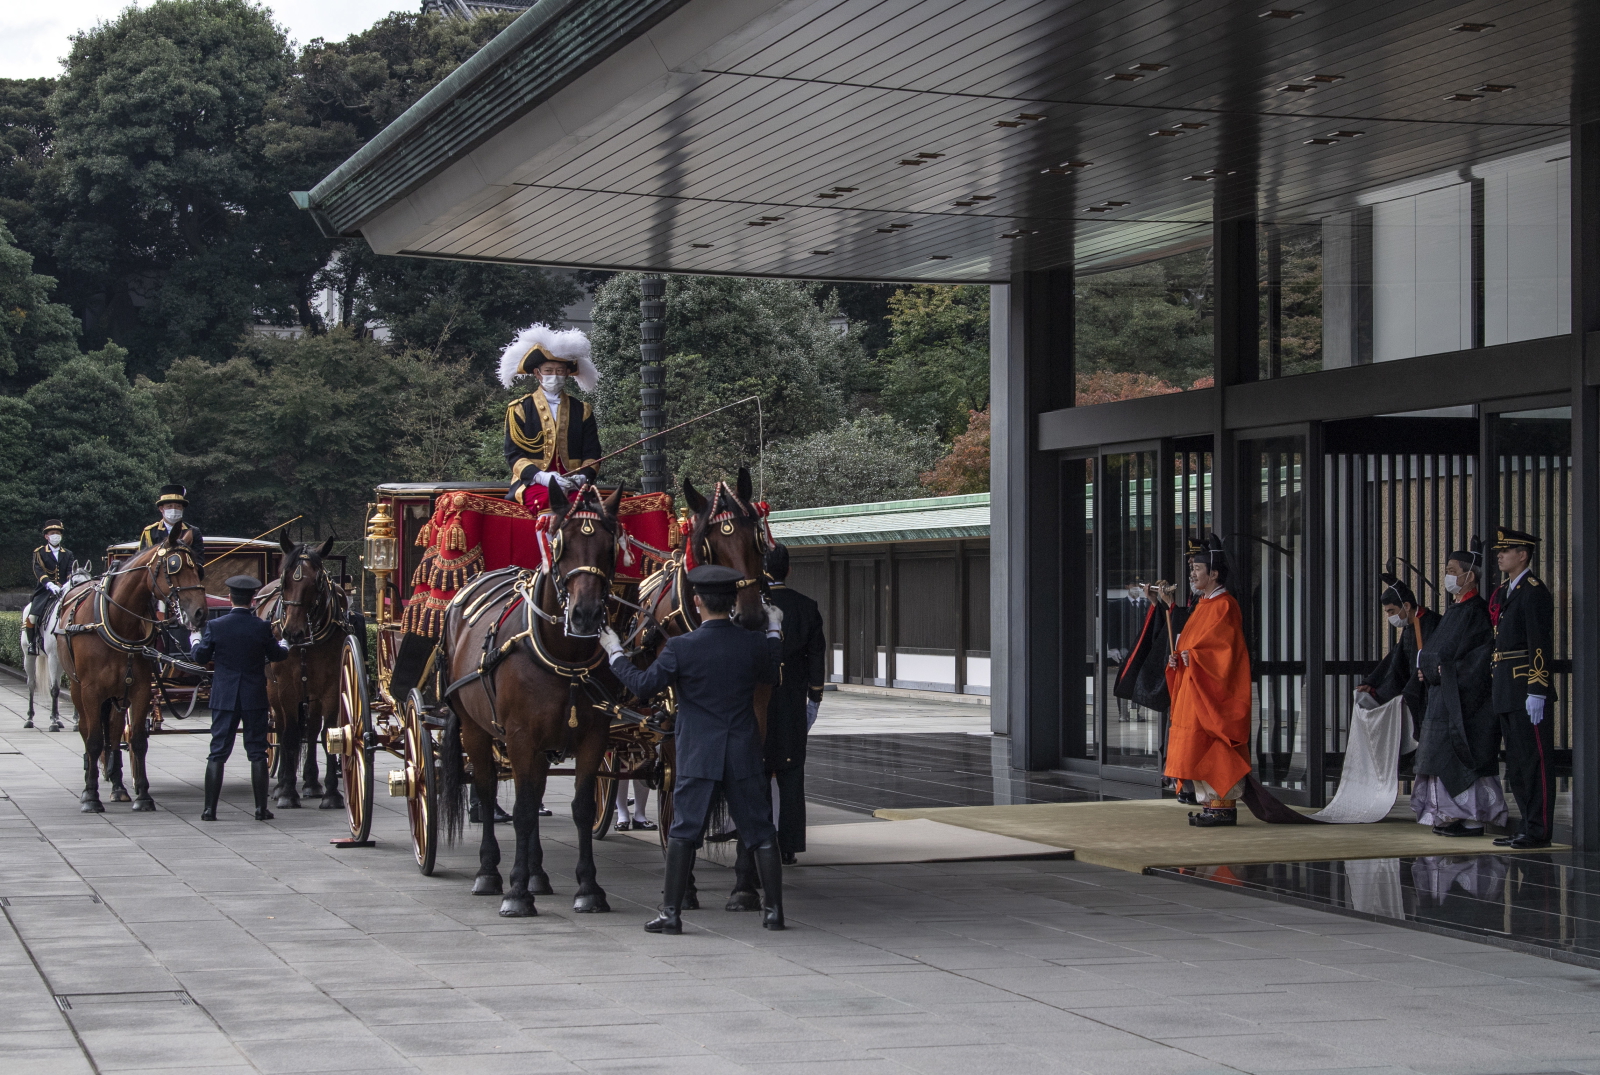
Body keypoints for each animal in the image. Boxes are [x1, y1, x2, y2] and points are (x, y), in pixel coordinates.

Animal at [20, 563, 93, 729]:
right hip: (29, 656)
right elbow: (54, 689)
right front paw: (53, 720)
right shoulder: (53, 658)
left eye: (91, 580)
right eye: (76, 582)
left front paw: (76, 721)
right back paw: (30, 718)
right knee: (31, 684)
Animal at [56, 537, 208, 815]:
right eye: (173, 566)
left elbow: (136, 740)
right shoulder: (91, 691)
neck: (117, 621)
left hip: (118, 694)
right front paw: (91, 796)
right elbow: (94, 740)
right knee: (87, 731)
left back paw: (118, 786)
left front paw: (144, 795)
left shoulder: (139, 690)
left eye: (198, 569)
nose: (200, 613)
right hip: (76, 687)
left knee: (116, 732)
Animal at [256, 534, 347, 809]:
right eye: (285, 579)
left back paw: (311, 783)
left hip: (312, 692)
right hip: (272, 689)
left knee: (312, 728)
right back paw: (281, 785)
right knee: (283, 727)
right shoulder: (286, 687)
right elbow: (290, 735)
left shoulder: (330, 687)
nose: (293, 632)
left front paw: (331, 793)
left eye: (317, 581)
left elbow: (328, 734)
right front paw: (286, 792)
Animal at [444, 486, 630, 915]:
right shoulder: (519, 736)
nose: (585, 615)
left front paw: (588, 887)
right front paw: (515, 892)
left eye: (609, 547)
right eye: (561, 545)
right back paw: (490, 873)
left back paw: (536, 874)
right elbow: (524, 811)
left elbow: (580, 808)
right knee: (486, 790)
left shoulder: (593, 736)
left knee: (535, 790)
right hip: (475, 729)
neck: (566, 657)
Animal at [624, 467, 774, 908]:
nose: (751, 616)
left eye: (755, 537)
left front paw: (745, 882)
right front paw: (684, 882)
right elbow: (681, 781)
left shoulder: (755, 707)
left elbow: (748, 778)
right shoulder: (676, 715)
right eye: (710, 546)